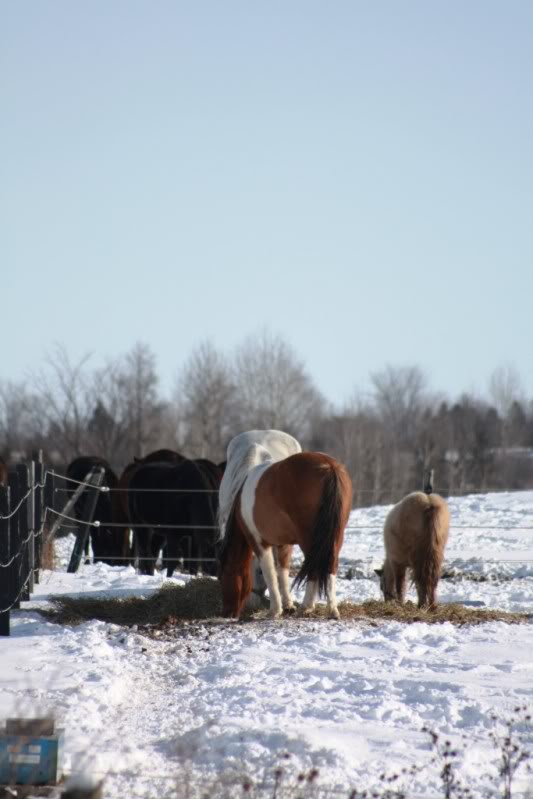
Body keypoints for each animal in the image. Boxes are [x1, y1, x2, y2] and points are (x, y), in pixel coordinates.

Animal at [216, 432, 354, 620]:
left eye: (223, 577)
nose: (227, 613)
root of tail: (329, 466)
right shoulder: (284, 544)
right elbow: (282, 572)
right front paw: (288, 605)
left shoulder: (259, 542)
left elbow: (270, 573)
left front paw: (275, 610)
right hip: (335, 536)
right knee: (331, 564)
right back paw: (331, 609)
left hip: (309, 538)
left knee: (314, 567)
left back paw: (306, 607)